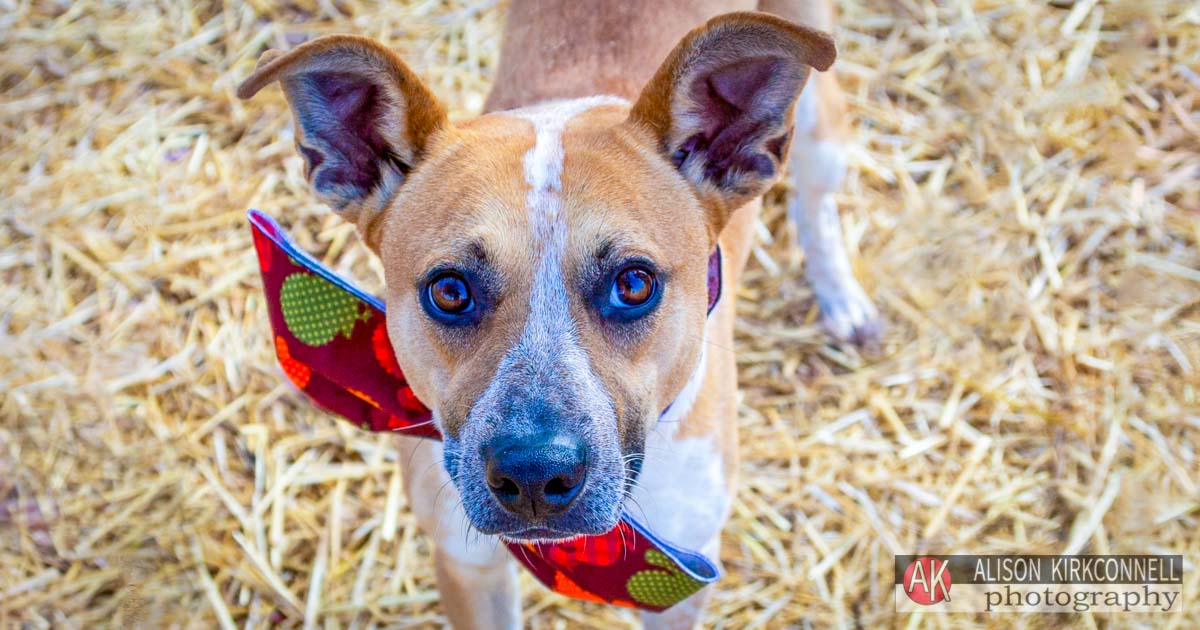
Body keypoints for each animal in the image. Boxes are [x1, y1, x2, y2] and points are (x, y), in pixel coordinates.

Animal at [238, 0, 883, 624]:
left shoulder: (682, 585)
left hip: (821, 124)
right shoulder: (468, 567)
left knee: (816, 202)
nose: (532, 475)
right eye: (449, 291)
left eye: (634, 284)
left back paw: (843, 298)